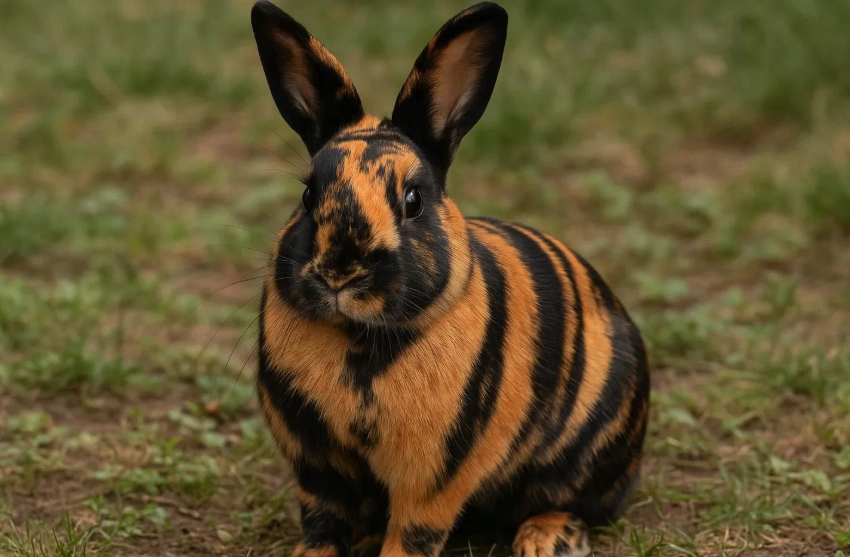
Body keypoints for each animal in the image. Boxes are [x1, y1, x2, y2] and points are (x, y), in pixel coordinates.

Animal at [250, 2, 650, 557]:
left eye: (414, 200)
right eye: (308, 196)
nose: (339, 274)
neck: (357, 339)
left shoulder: (434, 475)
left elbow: (415, 532)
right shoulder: (318, 467)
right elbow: (323, 522)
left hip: (584, 460)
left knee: (577, 503)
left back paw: (546, 539)